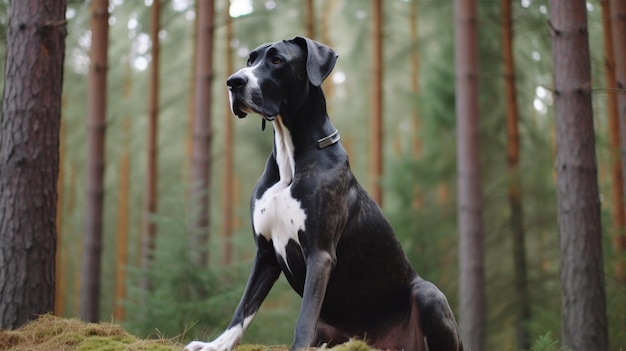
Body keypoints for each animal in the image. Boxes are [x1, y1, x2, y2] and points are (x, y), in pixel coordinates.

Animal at [183, 36, 460, 351]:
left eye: (277, 60)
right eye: (250, 60)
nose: (234, 82)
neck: (290, 161)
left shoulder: (319, 253)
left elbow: (304, 316)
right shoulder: (265, 254)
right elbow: (244, 308)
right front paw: (216, 344)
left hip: (429, 293)